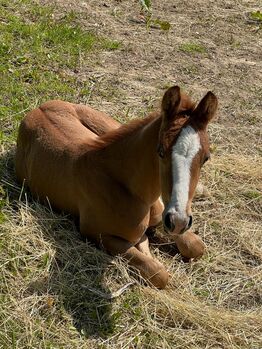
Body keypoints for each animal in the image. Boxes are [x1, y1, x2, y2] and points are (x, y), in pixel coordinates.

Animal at [15, 85, 218, 286]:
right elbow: (158, 273)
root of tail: (37, 108)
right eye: (160, 151)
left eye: (206, 158)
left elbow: (196, 246)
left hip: (108, 124)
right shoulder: (95, 233)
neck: (130, 190)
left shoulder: (162, 215)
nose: (178, 220)